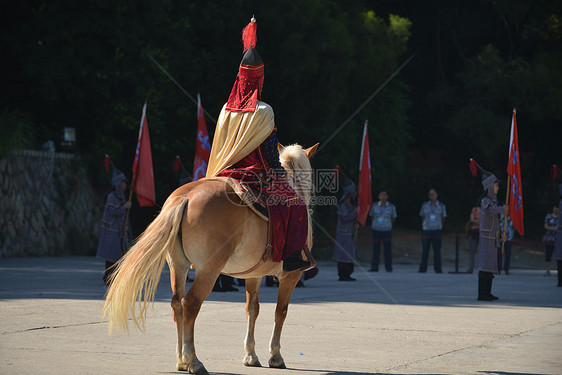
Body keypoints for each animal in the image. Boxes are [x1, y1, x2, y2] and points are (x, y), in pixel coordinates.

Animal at [102, 142, 318, 374]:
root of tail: (185, 197)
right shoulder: (291, 275)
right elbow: (281, 311)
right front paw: (275, 356)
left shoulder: (254, 275)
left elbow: (252, 309)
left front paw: (251, 355)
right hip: (209, 270)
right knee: (190, 303)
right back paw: (194, 361)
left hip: (178, 266)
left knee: (177, 303)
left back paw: (181, 360)